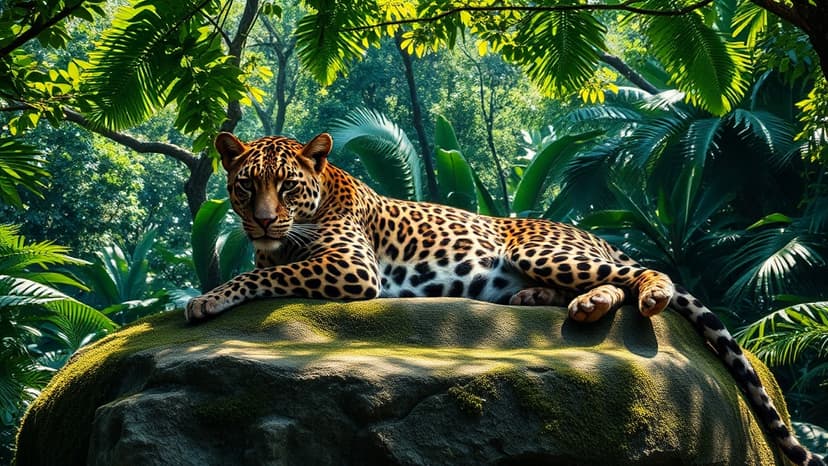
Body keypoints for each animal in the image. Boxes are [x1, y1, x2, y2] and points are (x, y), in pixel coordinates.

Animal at [186, 131, 824, 466]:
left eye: (287, 187)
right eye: (246, 186)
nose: (263, 220)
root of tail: (591, 233)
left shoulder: (349, 266)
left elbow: (260, 276)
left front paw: (205, 300)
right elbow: (263, 267)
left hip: (542, 249)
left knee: (642, 271)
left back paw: (644, 296)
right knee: (609, 283)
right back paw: (564, 305)